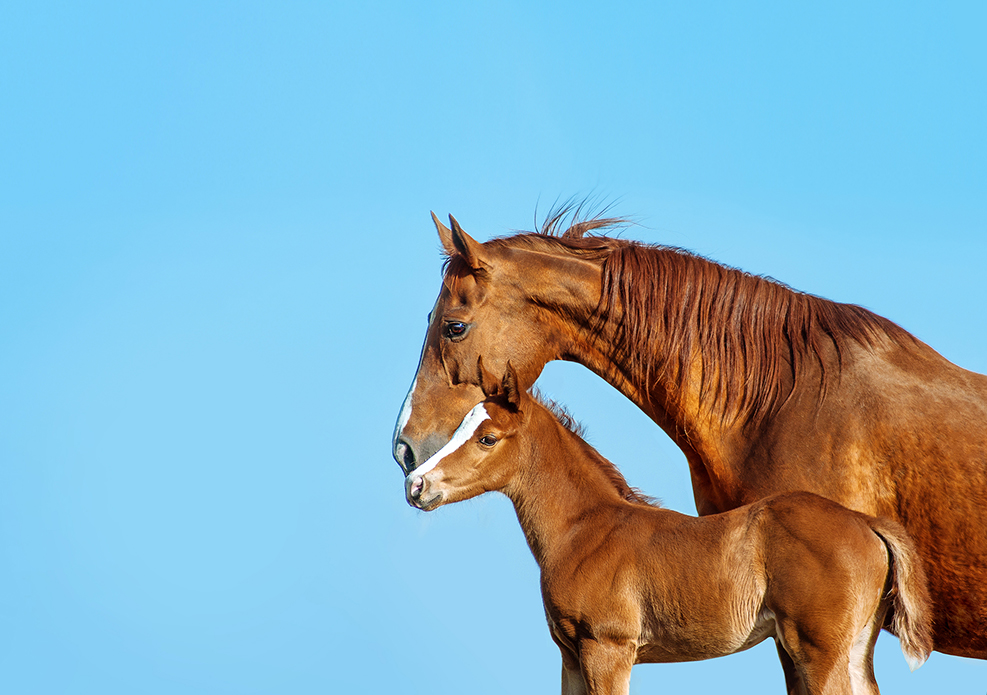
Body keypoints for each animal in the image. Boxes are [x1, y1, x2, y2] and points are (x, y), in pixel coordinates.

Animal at [406, 368, 932, 692]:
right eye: (462, 425)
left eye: (487, 437)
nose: (416, 484)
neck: (585, 529)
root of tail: (866, 522)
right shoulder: (570, 657)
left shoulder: (607, 650)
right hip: (855, 647)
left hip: (818, 650)